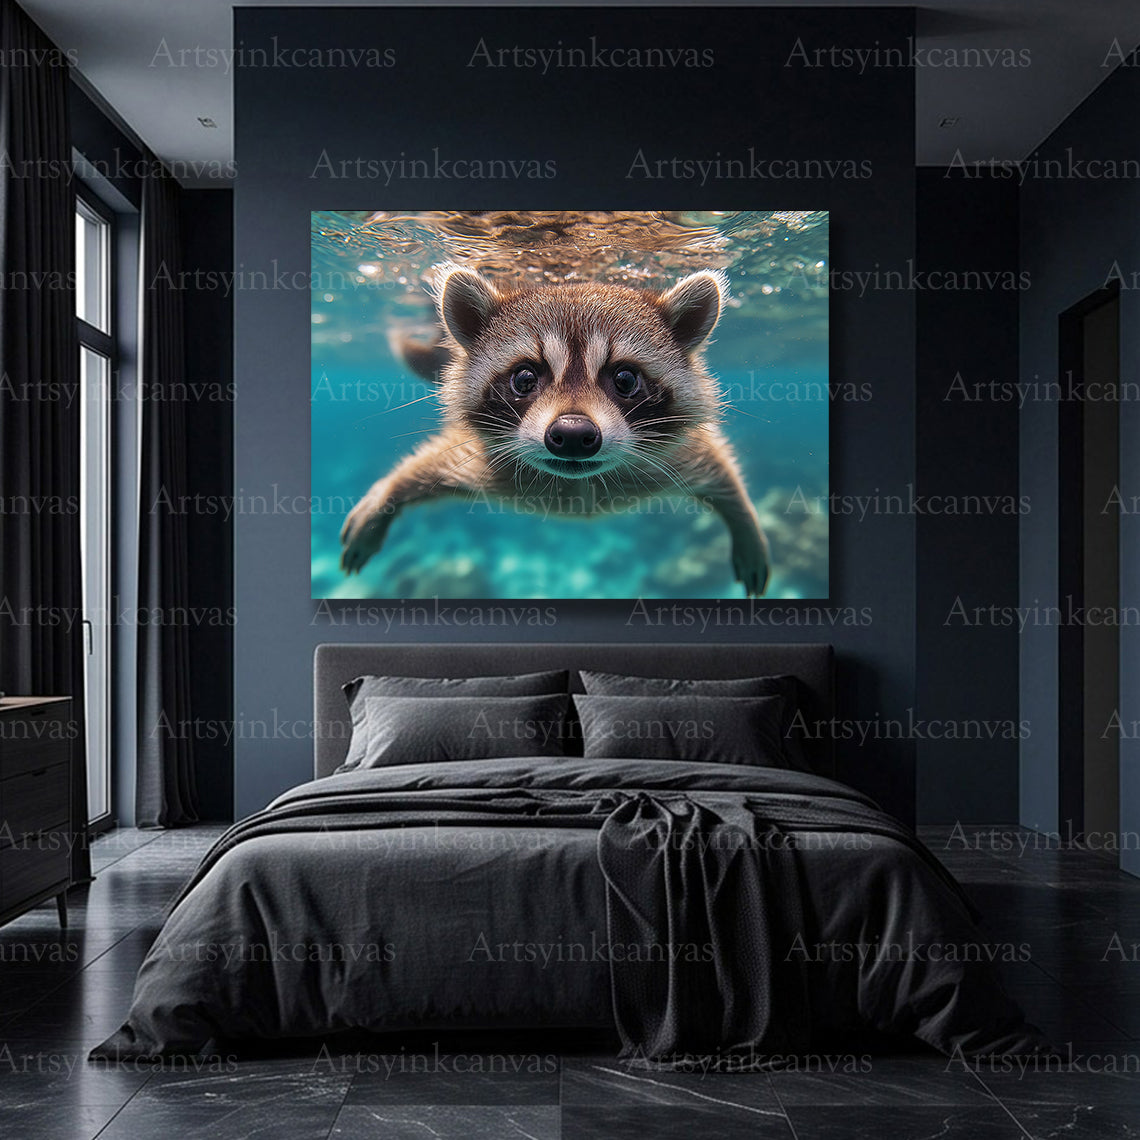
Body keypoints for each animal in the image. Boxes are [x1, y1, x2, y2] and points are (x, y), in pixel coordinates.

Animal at [340, 265, 770, 596]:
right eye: (525, 377)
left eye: (625, 379)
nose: (574, 434)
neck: (578, 484)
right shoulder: (490, 463)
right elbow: (430, 462)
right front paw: (387, 494)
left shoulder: (662, 458)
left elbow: (717, 465)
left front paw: (745, 520)